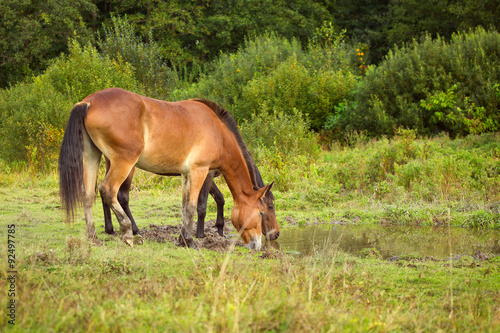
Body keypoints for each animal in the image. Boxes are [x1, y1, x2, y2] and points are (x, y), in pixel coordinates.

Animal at [61, 88, 278, 249]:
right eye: (263, 211)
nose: (263, 242)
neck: (218, 132)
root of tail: (88, 102)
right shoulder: (200, 171)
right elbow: (193, 206)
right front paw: (190, 240)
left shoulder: (186, 174)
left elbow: (184, 207)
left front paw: (183, 239)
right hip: (124, 162)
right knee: (109, 191)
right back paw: (128, 231)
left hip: (91, 157)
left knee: (88, 195)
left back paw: (93, 237)